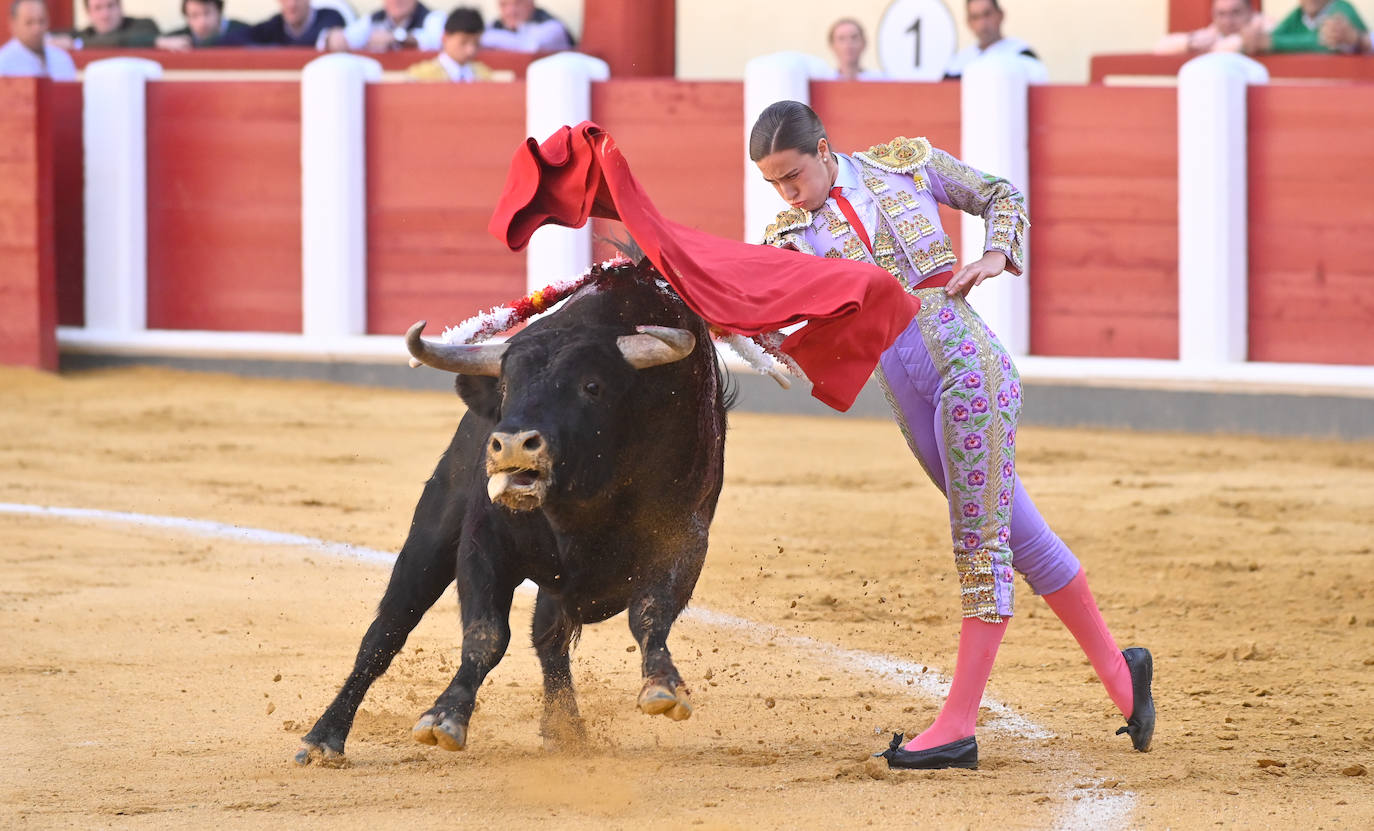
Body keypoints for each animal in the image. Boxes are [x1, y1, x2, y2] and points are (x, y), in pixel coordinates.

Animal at [296, 262, 736, 763]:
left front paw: (663, 686)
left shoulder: (681, 539)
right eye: (508, 386)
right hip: (431, 533)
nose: (509, 444)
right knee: (386, 631)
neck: (578, 507)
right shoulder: (483, 542)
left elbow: (648, 612)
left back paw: (565, 729)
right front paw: (445, 716)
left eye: (592, 386)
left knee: (548, 636)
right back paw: (322, 737)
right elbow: (486, 633)